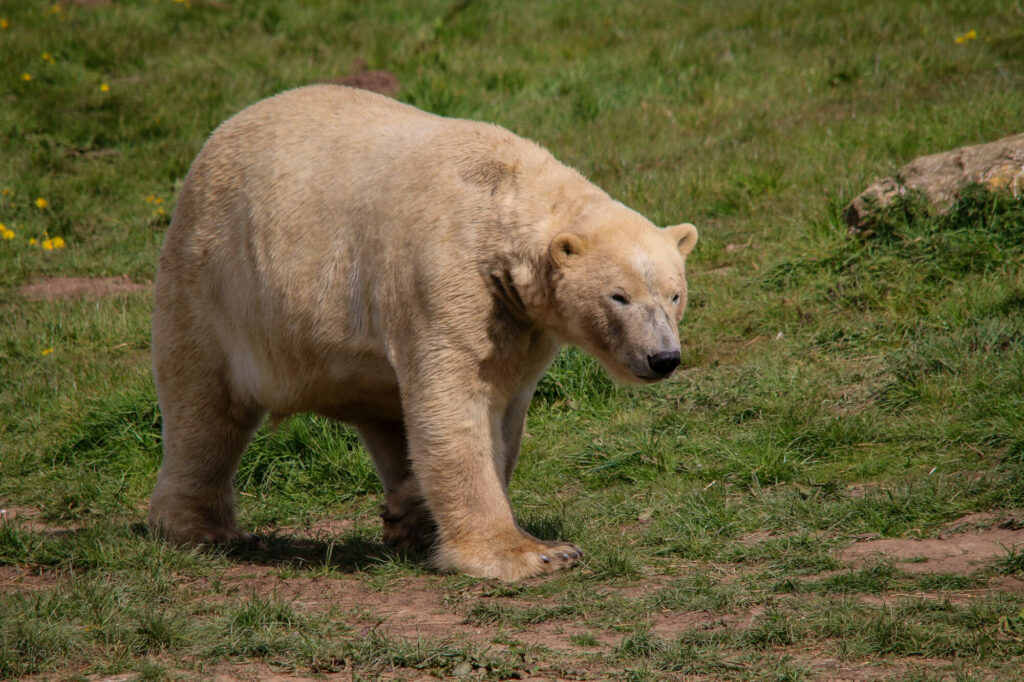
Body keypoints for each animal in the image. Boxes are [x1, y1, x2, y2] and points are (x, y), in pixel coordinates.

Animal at [148, 85, 698, 581]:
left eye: (675, 294)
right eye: (619, 296)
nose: (663, 358)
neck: (500, 199)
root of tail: (219, 135)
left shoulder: (520, 321)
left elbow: (505, 412)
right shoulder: (446, 280)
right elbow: (454, 406)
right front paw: (534, 554)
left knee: (385, 413)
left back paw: (409, 519)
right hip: (217, 278)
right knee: (203, 404)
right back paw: (202, 529)